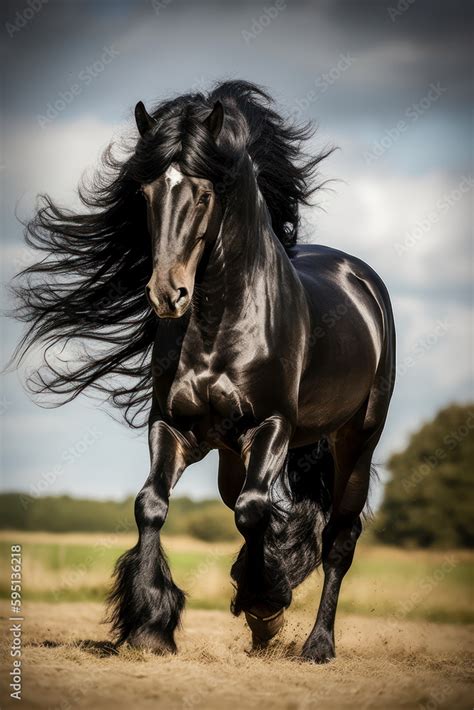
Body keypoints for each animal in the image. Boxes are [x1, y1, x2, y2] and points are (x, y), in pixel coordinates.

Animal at [12, 80, 394, 664]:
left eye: (204, 195)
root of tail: (361, 278)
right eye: (146, 193)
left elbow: (256, 510)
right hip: (234, 454)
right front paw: (151, 625)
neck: (222, 325)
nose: (167, 294)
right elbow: (152, 504)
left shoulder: (273, 425)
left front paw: (265, 604)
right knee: (250, 504)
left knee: (338, 538)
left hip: (357, 438)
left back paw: (316, 645)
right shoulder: (173, 425)